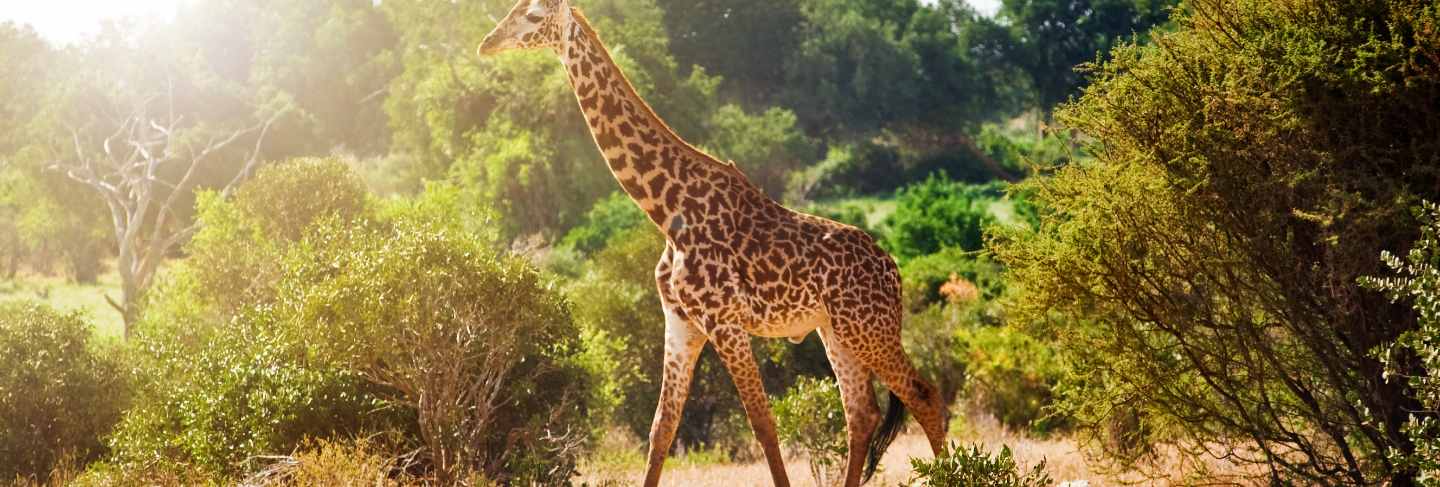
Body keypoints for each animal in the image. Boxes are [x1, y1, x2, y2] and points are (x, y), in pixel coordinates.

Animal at [480, 1, 944, 484]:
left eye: (533, 17)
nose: (486, 44)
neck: (668, 212)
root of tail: (894, 269)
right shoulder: (681, 320)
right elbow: (662, 428)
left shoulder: (724, 321)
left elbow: (763, 423)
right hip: (835, 329)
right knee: (862, 414)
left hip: (868, 328)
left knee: (925, 395)